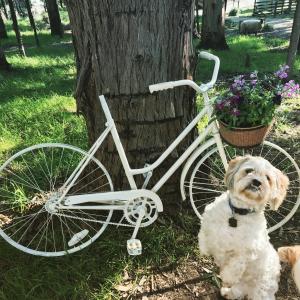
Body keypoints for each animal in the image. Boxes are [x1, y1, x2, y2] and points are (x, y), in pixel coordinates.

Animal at [198, 156, 290, 298]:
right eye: (249, 170)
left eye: (267, 178)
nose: (257, 182)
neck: (238, 212)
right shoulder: (208, 221)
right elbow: (203, 234)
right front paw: (205, 248)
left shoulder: (248, 251)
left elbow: (236, 265)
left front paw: (227, 276)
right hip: (241, 287)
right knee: (236, 293)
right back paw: (227, 292)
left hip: (260, 292)